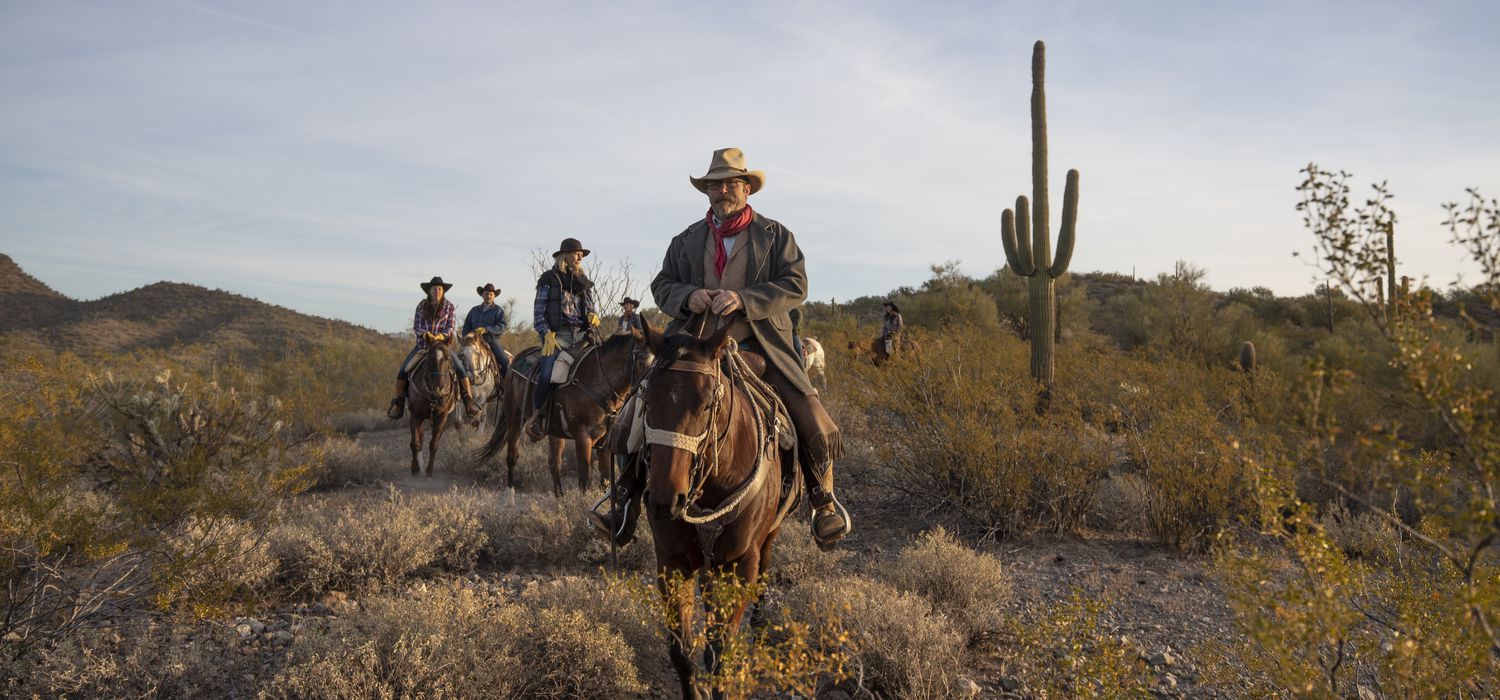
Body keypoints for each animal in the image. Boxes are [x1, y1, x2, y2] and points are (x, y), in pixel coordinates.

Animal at [405, 343, 456, 476]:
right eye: (428, 358)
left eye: (448, 358)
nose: (437, 387)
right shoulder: (415, 415)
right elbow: (415, 443)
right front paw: (415, 469)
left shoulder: (442, 416)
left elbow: (434, 444)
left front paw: (429, 470)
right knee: (419, 440)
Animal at [477, 331, 648, 494]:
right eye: (642, 363)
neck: (600, 381)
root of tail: (514, 362)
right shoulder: (583, 437)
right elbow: (584, 478)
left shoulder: (606, 441)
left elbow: (605, 479)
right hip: (514, 419)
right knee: (512, 457)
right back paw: (509, 495)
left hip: (554, 432)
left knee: (554, 463)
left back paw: (559, 496)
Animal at [639, 320, 804, 698]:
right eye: (647, 400)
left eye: (705, 405)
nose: (665, 500)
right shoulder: (671, 562)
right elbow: (681, 651)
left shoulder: (740, 564)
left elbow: (720, 653)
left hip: (768, 539)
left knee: (764, 576)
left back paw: (760, 629)